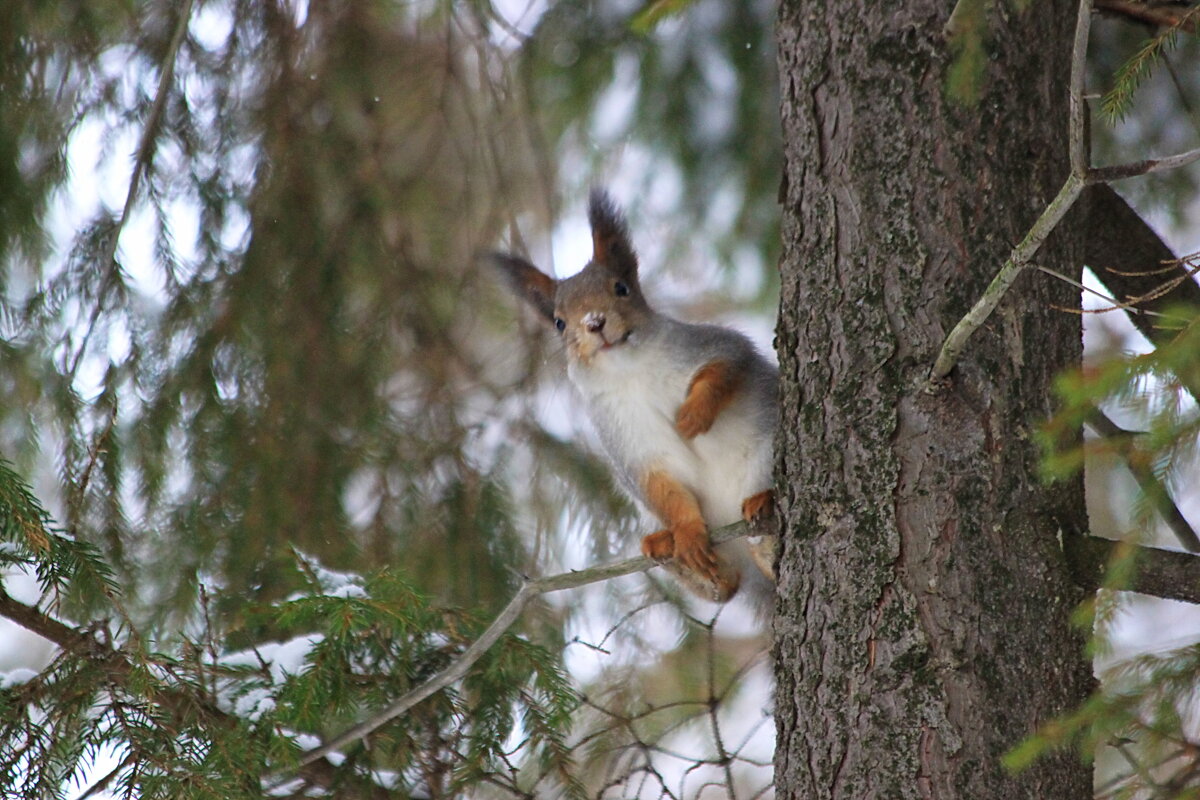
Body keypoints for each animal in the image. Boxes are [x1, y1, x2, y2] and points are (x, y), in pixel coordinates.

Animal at [489, 190, 777, 609]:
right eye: (559, 322)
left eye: (621, 288)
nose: (594, 323)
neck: (629, 372)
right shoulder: (628, 438)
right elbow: (662, 488)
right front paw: (687, 534)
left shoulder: (708, 345)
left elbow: (723, 369)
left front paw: (693, 415)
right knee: (728, 587)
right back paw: (677, 556)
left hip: (768, 452)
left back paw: (764, 516)